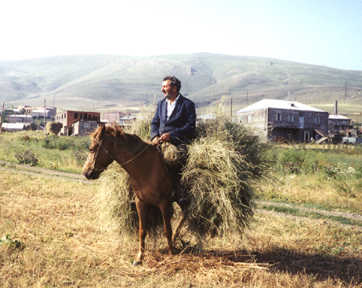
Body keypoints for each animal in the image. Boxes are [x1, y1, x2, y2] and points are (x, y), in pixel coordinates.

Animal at [82, 125, 188, 264]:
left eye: (92, 148)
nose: (86, 173)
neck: (146, 168)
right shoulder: (140, 202)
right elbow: (142, 231)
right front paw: (139, 257)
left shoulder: (164, 203)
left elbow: (167, 230)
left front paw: (171, 255)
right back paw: (177, 239)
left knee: (184, 214)